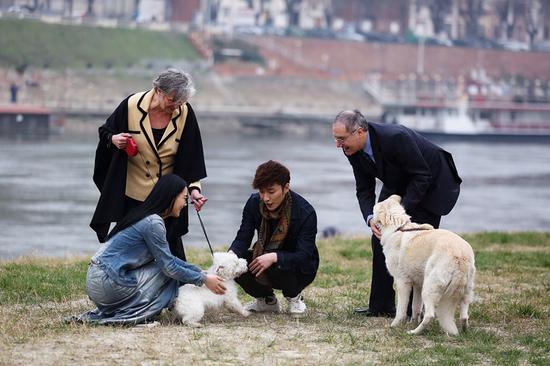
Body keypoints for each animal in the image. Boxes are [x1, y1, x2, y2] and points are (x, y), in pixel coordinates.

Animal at [374, 196, 476, 336]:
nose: (370, 221)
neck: (398, 228)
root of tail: (460, 256)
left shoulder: (402, 282)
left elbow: (401, 310)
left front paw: (394, 325)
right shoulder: (418, 284)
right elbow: (415, 307)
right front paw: (412, 322)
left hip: (429, 288)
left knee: (430, 315)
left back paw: (414, 332)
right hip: (466, 291)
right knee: (465, 316)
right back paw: (463, 332)